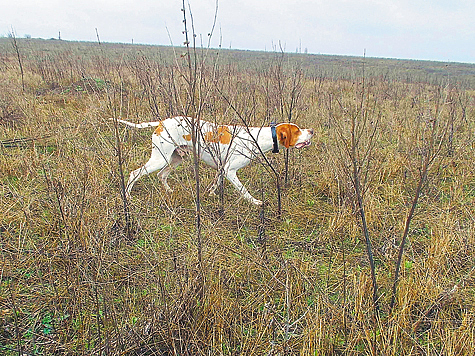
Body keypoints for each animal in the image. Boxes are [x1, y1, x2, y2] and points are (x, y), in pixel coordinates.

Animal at [115, 117, 314, 204]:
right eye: (297, 131)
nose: (311, 130)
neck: (257, 138)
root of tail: (161, 122)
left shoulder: (221, 168)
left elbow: (215, 183)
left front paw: (210, 193)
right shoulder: (230, 171)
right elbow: (243, 190)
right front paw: (256, 202)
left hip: (176, 158)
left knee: (162, 175)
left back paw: (169, 191)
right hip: (159, 158)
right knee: (134, 173)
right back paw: (127, 196)